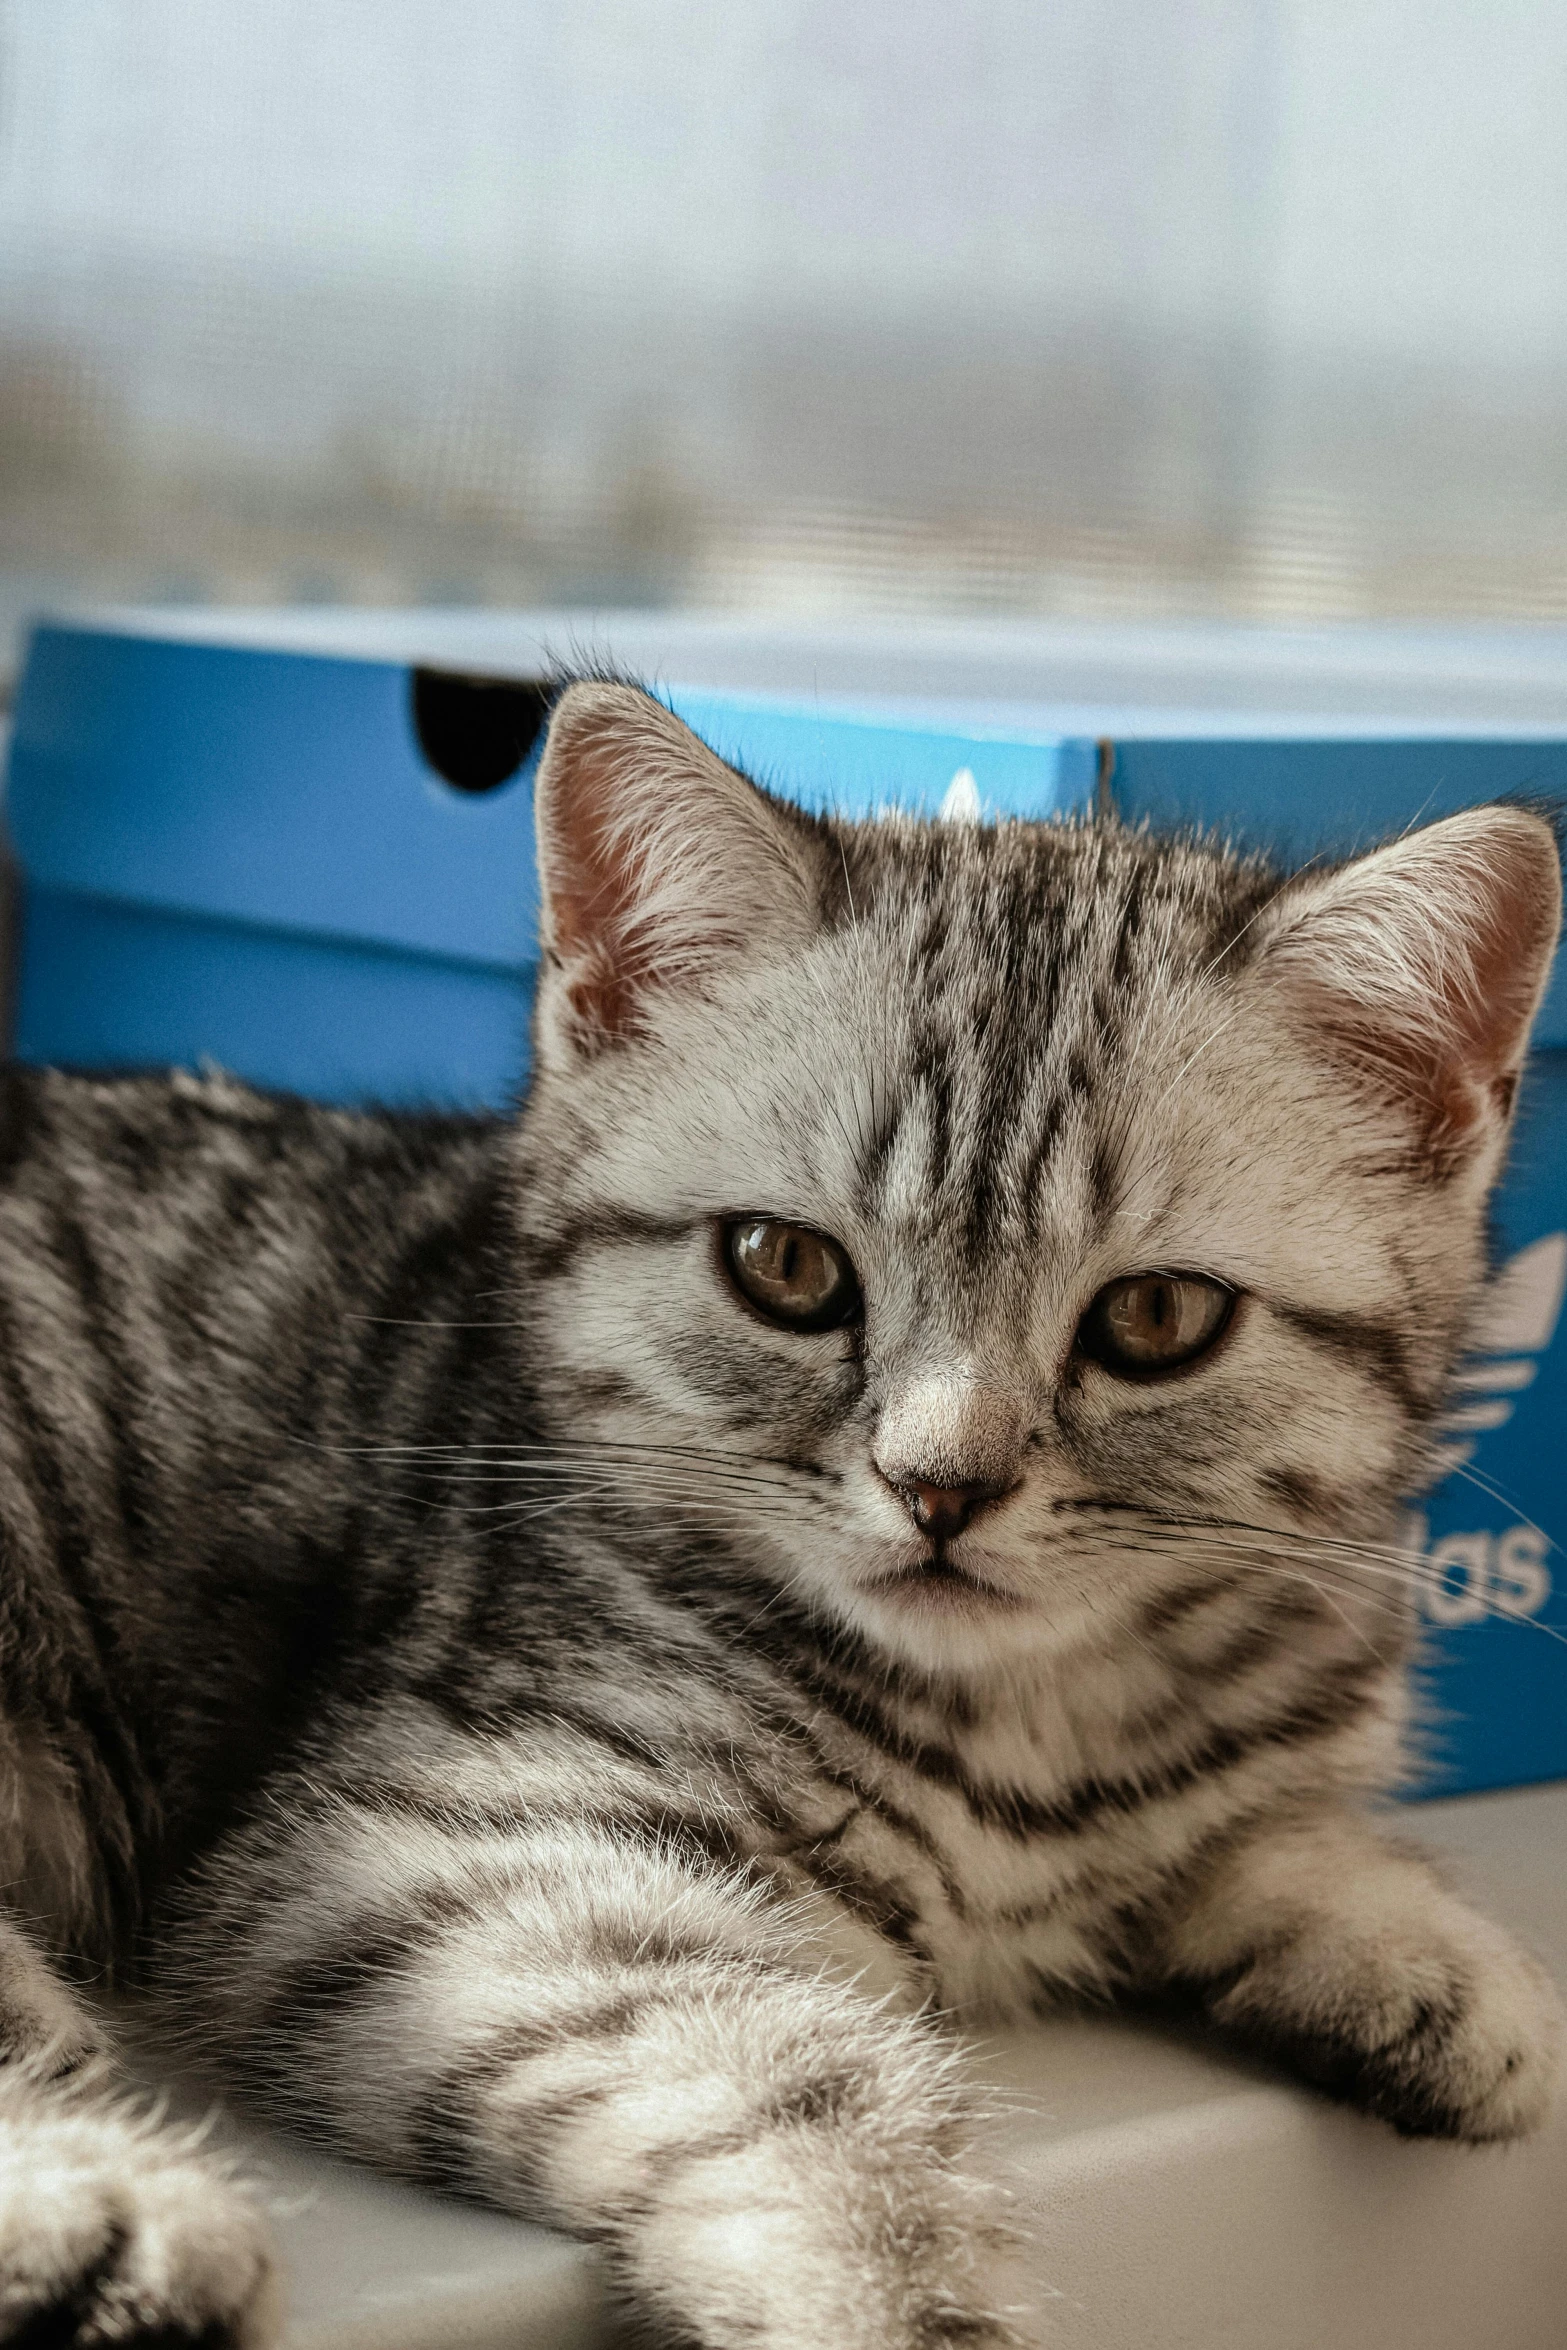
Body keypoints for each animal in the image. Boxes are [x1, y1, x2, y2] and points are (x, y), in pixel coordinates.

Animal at [3, 686, 1567, 2350]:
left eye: (1153, 1317)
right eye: (784, 1267)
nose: (941, 1483)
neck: (1028, 1733)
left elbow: (1253, 1818)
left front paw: (1420, 1946)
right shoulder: (449, 1843)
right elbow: (795, 2094)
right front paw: (893, 2299)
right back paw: (106, 2209)